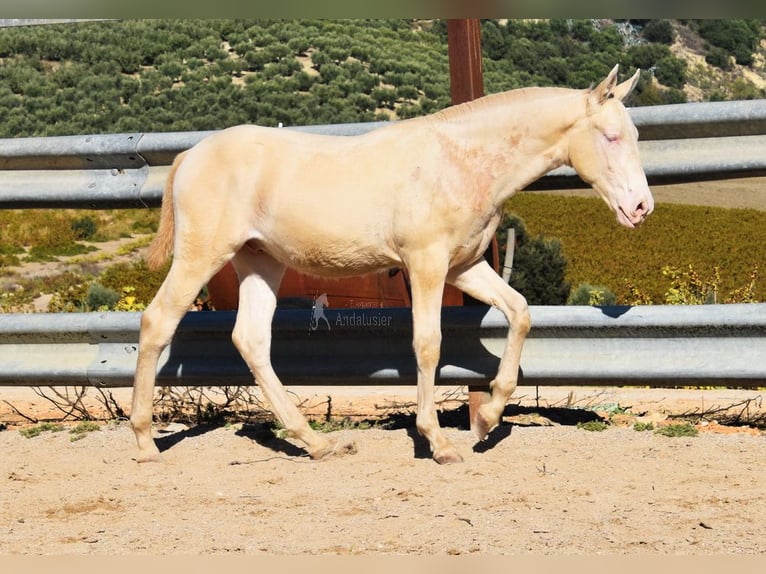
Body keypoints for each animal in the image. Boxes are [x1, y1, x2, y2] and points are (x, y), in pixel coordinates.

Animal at [130, 65, 656, 466]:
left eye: (635, 136)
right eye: (611, 137)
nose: (641, 208)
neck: (459, 162)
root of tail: (189, 155)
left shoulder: (464, 266)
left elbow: (520, 312)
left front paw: (486, 420)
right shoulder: (425, 264)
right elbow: (427, 344)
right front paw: (440, 443)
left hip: (259, 263)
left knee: (251, 340)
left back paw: (317, 443)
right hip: (202, 255)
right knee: (158, 322)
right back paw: (144, 442)